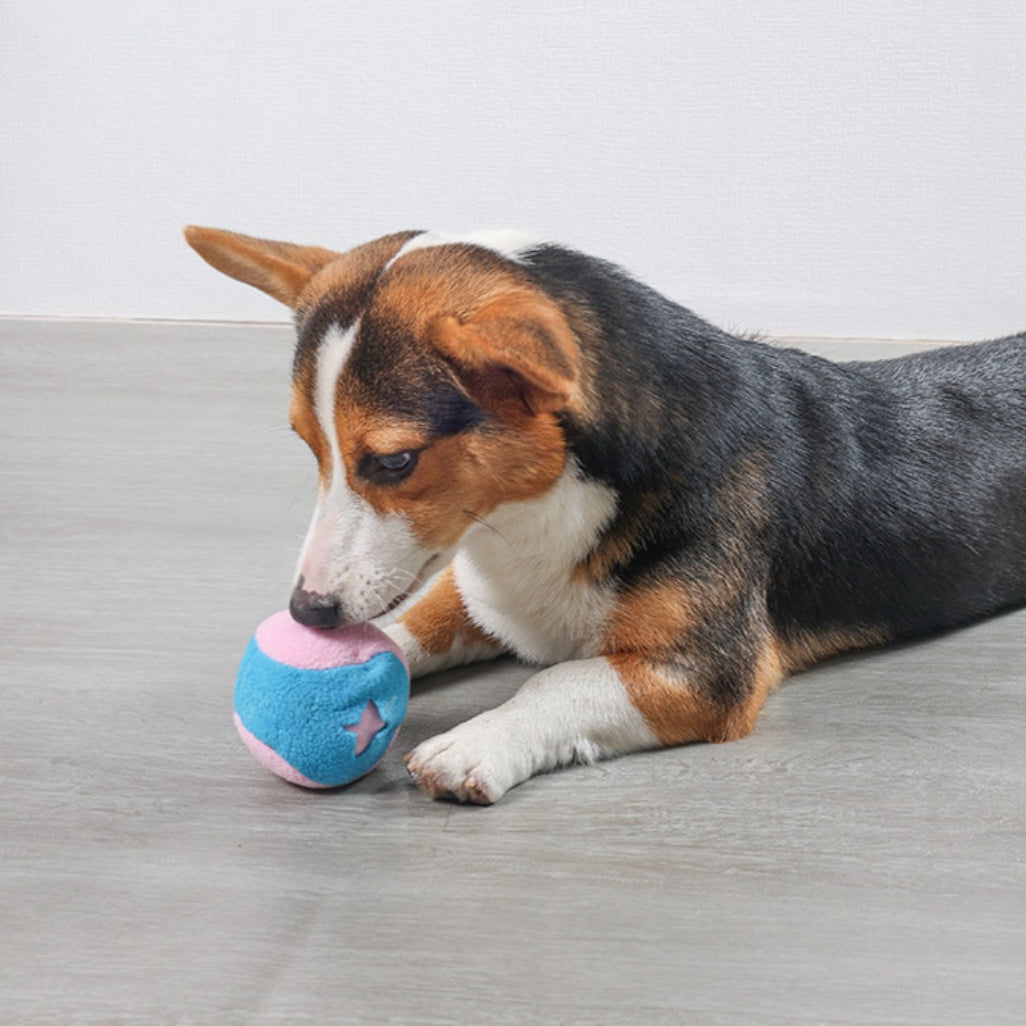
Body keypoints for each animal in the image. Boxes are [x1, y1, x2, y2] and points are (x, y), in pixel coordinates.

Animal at [184, 228, 1026, 804]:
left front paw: (475, 743)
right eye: (309, 445)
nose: (307, 613)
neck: (535, 512)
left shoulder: (705, 673)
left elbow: (559, 683)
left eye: (394, 462)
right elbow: (410, 628)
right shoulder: (478, 595)